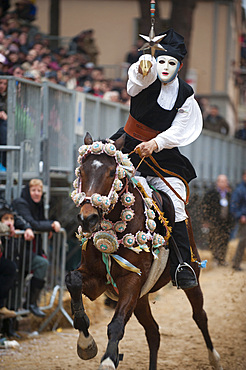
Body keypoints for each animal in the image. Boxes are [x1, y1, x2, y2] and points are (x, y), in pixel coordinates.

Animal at [65, 133, 223, 370]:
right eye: (81, 171)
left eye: (111, 172)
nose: (88, 218)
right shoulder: (96, 279)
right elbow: (72, 280)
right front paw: (86, 342)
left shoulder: (132, 281)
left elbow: (116, 324)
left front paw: (108, 360)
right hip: (141, 298)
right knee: (153, 332)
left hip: (190, 278)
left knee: (199, 316)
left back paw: (214, 358)